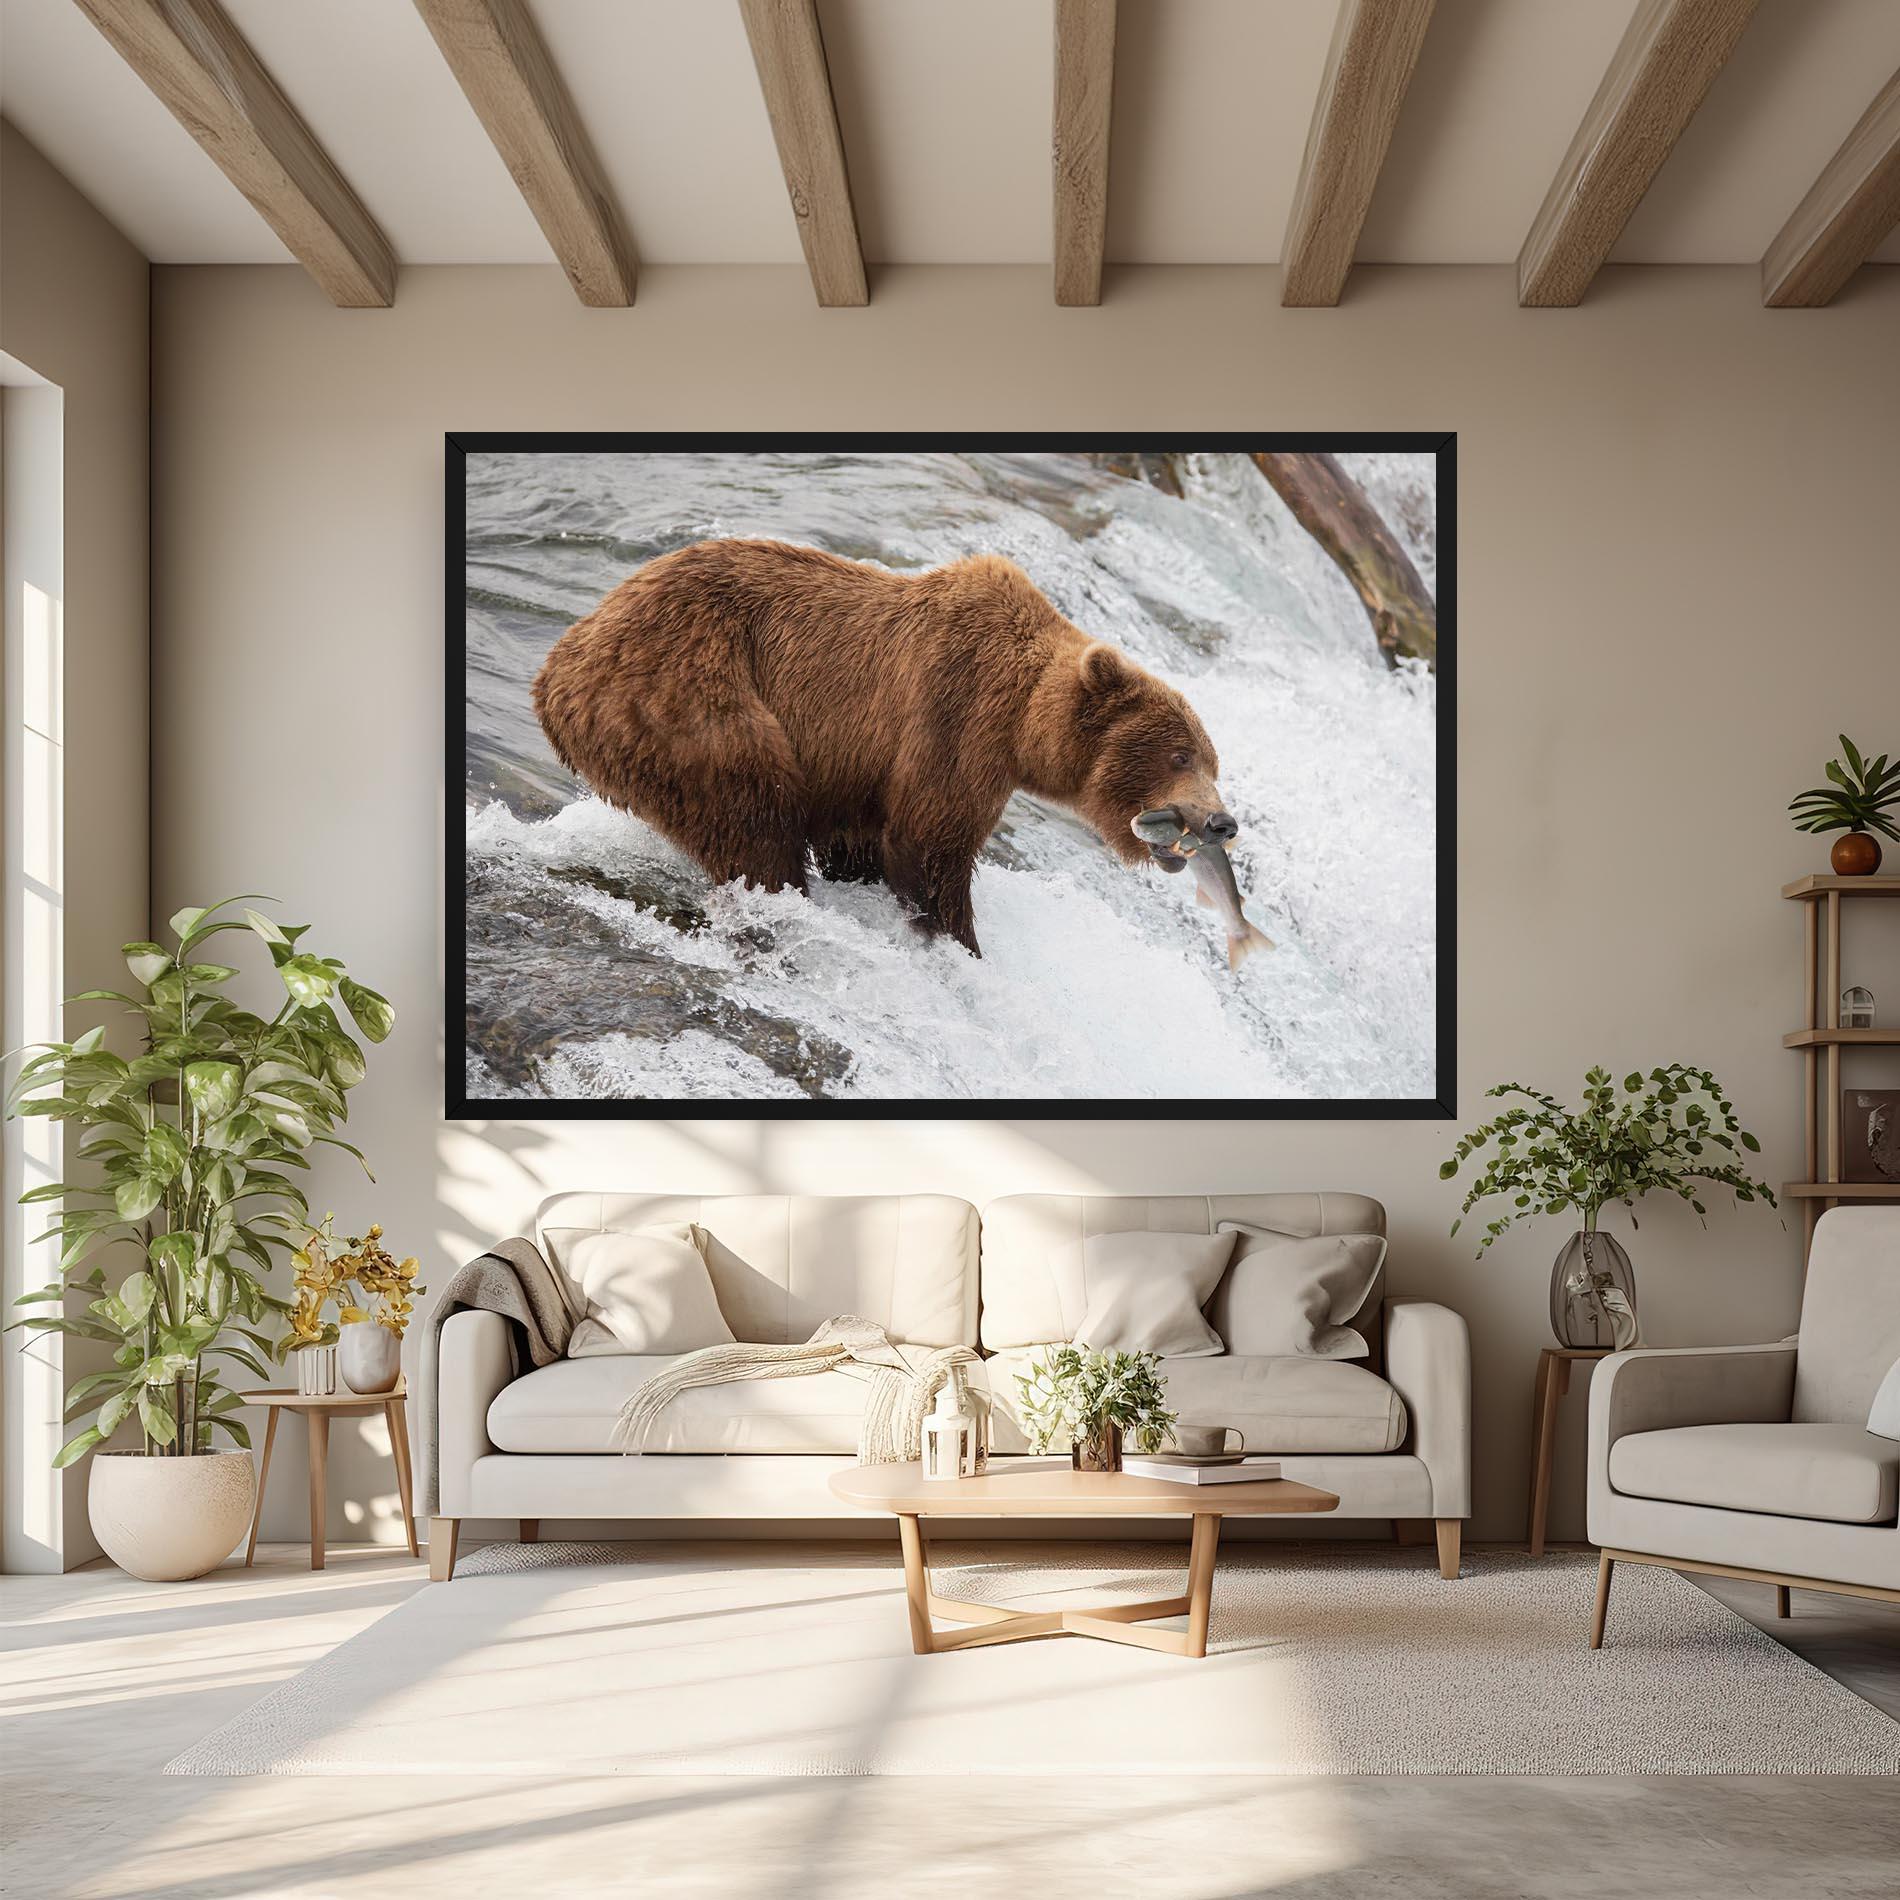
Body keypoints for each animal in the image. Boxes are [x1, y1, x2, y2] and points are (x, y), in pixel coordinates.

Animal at [532, 538, 1239, 957]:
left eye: (1213, 761)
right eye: (1180, 755)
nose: (1221, 822)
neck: (1023, 723)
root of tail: (558, 666)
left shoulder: (860, 770)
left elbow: (864, 842)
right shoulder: (955, 714)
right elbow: (929, 844)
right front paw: (959, 944)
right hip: (687, 695)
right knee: (753, 813)